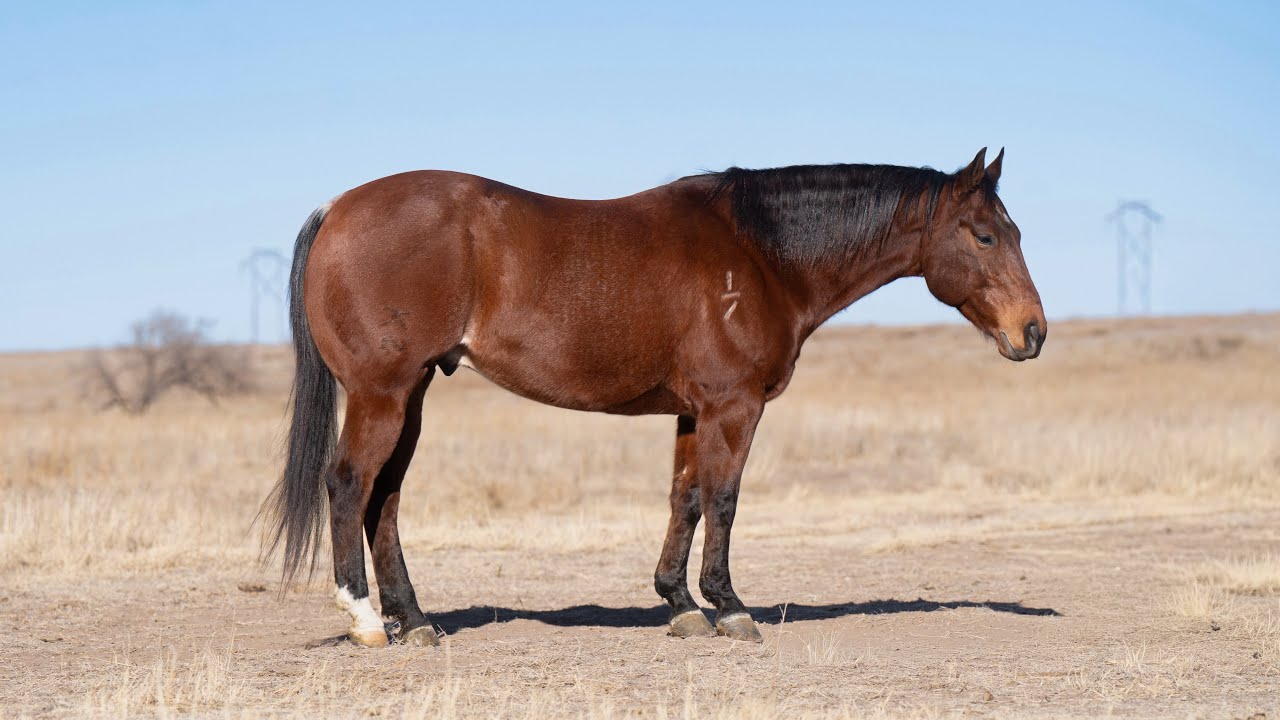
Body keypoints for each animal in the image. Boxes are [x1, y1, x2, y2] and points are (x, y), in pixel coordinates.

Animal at [260, 147, 1046, 647]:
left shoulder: (693, 411)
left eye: (1012, 231)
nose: (1031, 332)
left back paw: (416, 621)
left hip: (412, 395)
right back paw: (367, 620)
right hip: (383, 394)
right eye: (983, 235)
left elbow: (685, 498)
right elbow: (724, 499)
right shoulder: (734, 406)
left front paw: (680, 604)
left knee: (385, 498)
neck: (759, 254)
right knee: (349, 484)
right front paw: (730, 608)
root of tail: (337, 208)